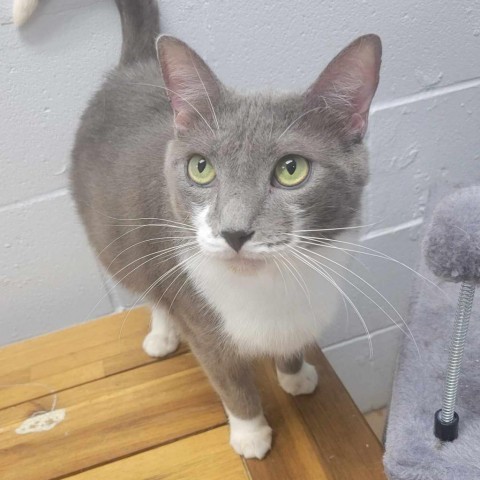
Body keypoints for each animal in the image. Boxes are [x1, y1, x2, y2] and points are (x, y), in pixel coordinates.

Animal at [69, 0, 380, 458]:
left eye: (292, 169)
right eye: (201, 168)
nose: (234, 232)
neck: (267, 285)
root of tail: (134, 66)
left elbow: (292, 341)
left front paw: (295, 375)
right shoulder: (201, 320)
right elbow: (231, 382)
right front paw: (251, 435)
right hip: (119, 242)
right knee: (150, 289)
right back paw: (161, 334)